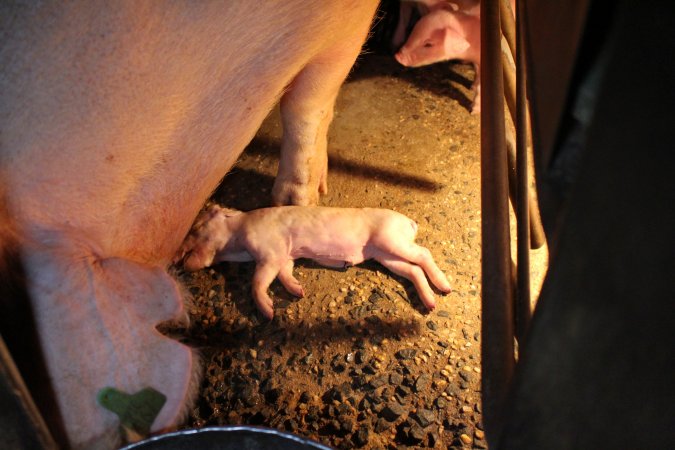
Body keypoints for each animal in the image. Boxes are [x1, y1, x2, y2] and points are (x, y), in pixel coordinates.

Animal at [177, 206, 452, 318]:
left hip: (390, 240)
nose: (179, 260)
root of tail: (410, 222)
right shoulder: (285, 255)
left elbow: (257, 282)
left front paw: (268, 314)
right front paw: (299, 292)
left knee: (424, 253)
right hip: (385, 256)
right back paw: (431, 305)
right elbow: (284, 274)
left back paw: (446, 288)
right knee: (413, 270)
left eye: (197, 227)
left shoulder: (270, 252)